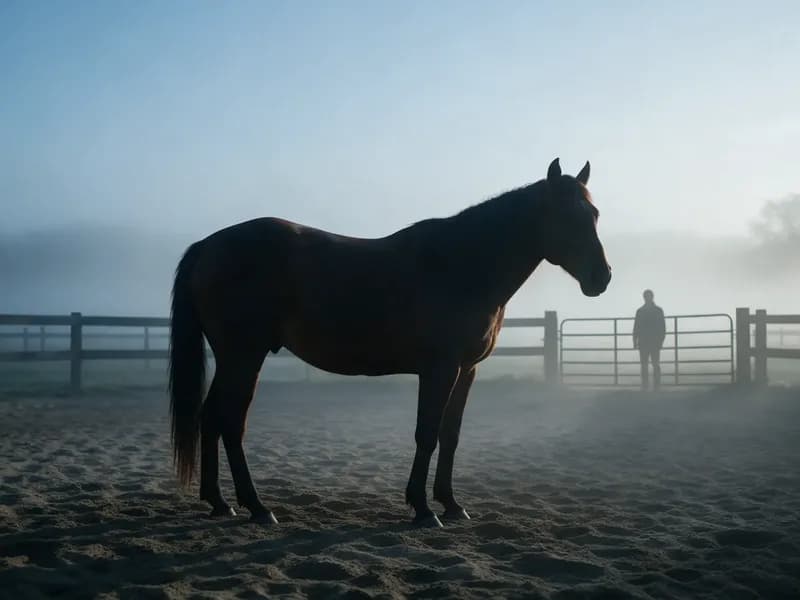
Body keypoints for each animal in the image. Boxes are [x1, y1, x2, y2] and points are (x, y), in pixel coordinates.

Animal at [168, 158, 611, 527]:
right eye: (565, 216)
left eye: (593, 214)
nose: (602, 277)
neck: (463, 265)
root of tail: (207, 246)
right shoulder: (439, 369)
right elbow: (427, 433)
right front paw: (422, 509)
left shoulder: (467, 370)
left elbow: (450, 436)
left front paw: (452, 505)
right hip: (244, 357)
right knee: (230, 423)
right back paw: (257, 507)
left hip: (233, 359)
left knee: (211, 418)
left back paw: (220, 502)